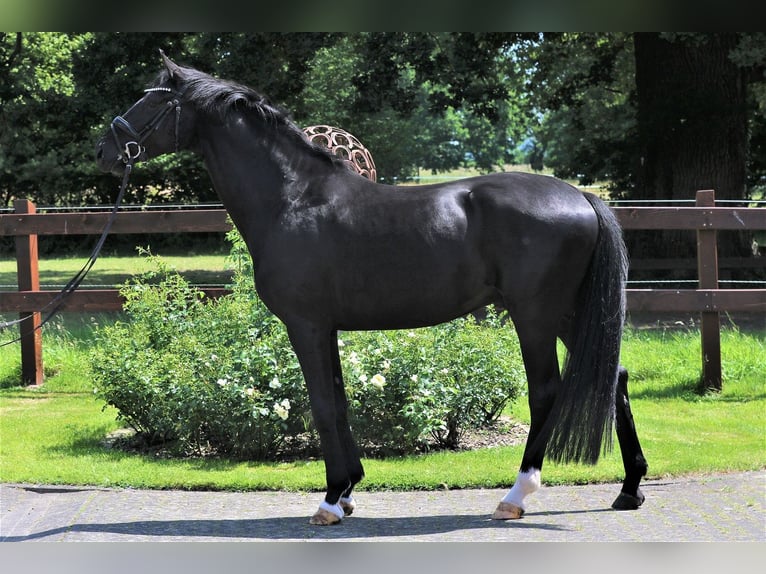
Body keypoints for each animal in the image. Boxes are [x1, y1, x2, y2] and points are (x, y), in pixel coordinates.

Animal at [96, 52, 648, 525]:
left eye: (149, 100)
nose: (105, 151)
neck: (293, 198)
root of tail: (581, 196)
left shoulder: (306, 325)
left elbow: (321, 403)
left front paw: (330, 500)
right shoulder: (327, 328)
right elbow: (339, 401)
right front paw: (348, 492)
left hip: (533, 314)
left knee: (546, 390)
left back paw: (516, 496)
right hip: (568, 313)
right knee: (617, 376)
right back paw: (629, 488)